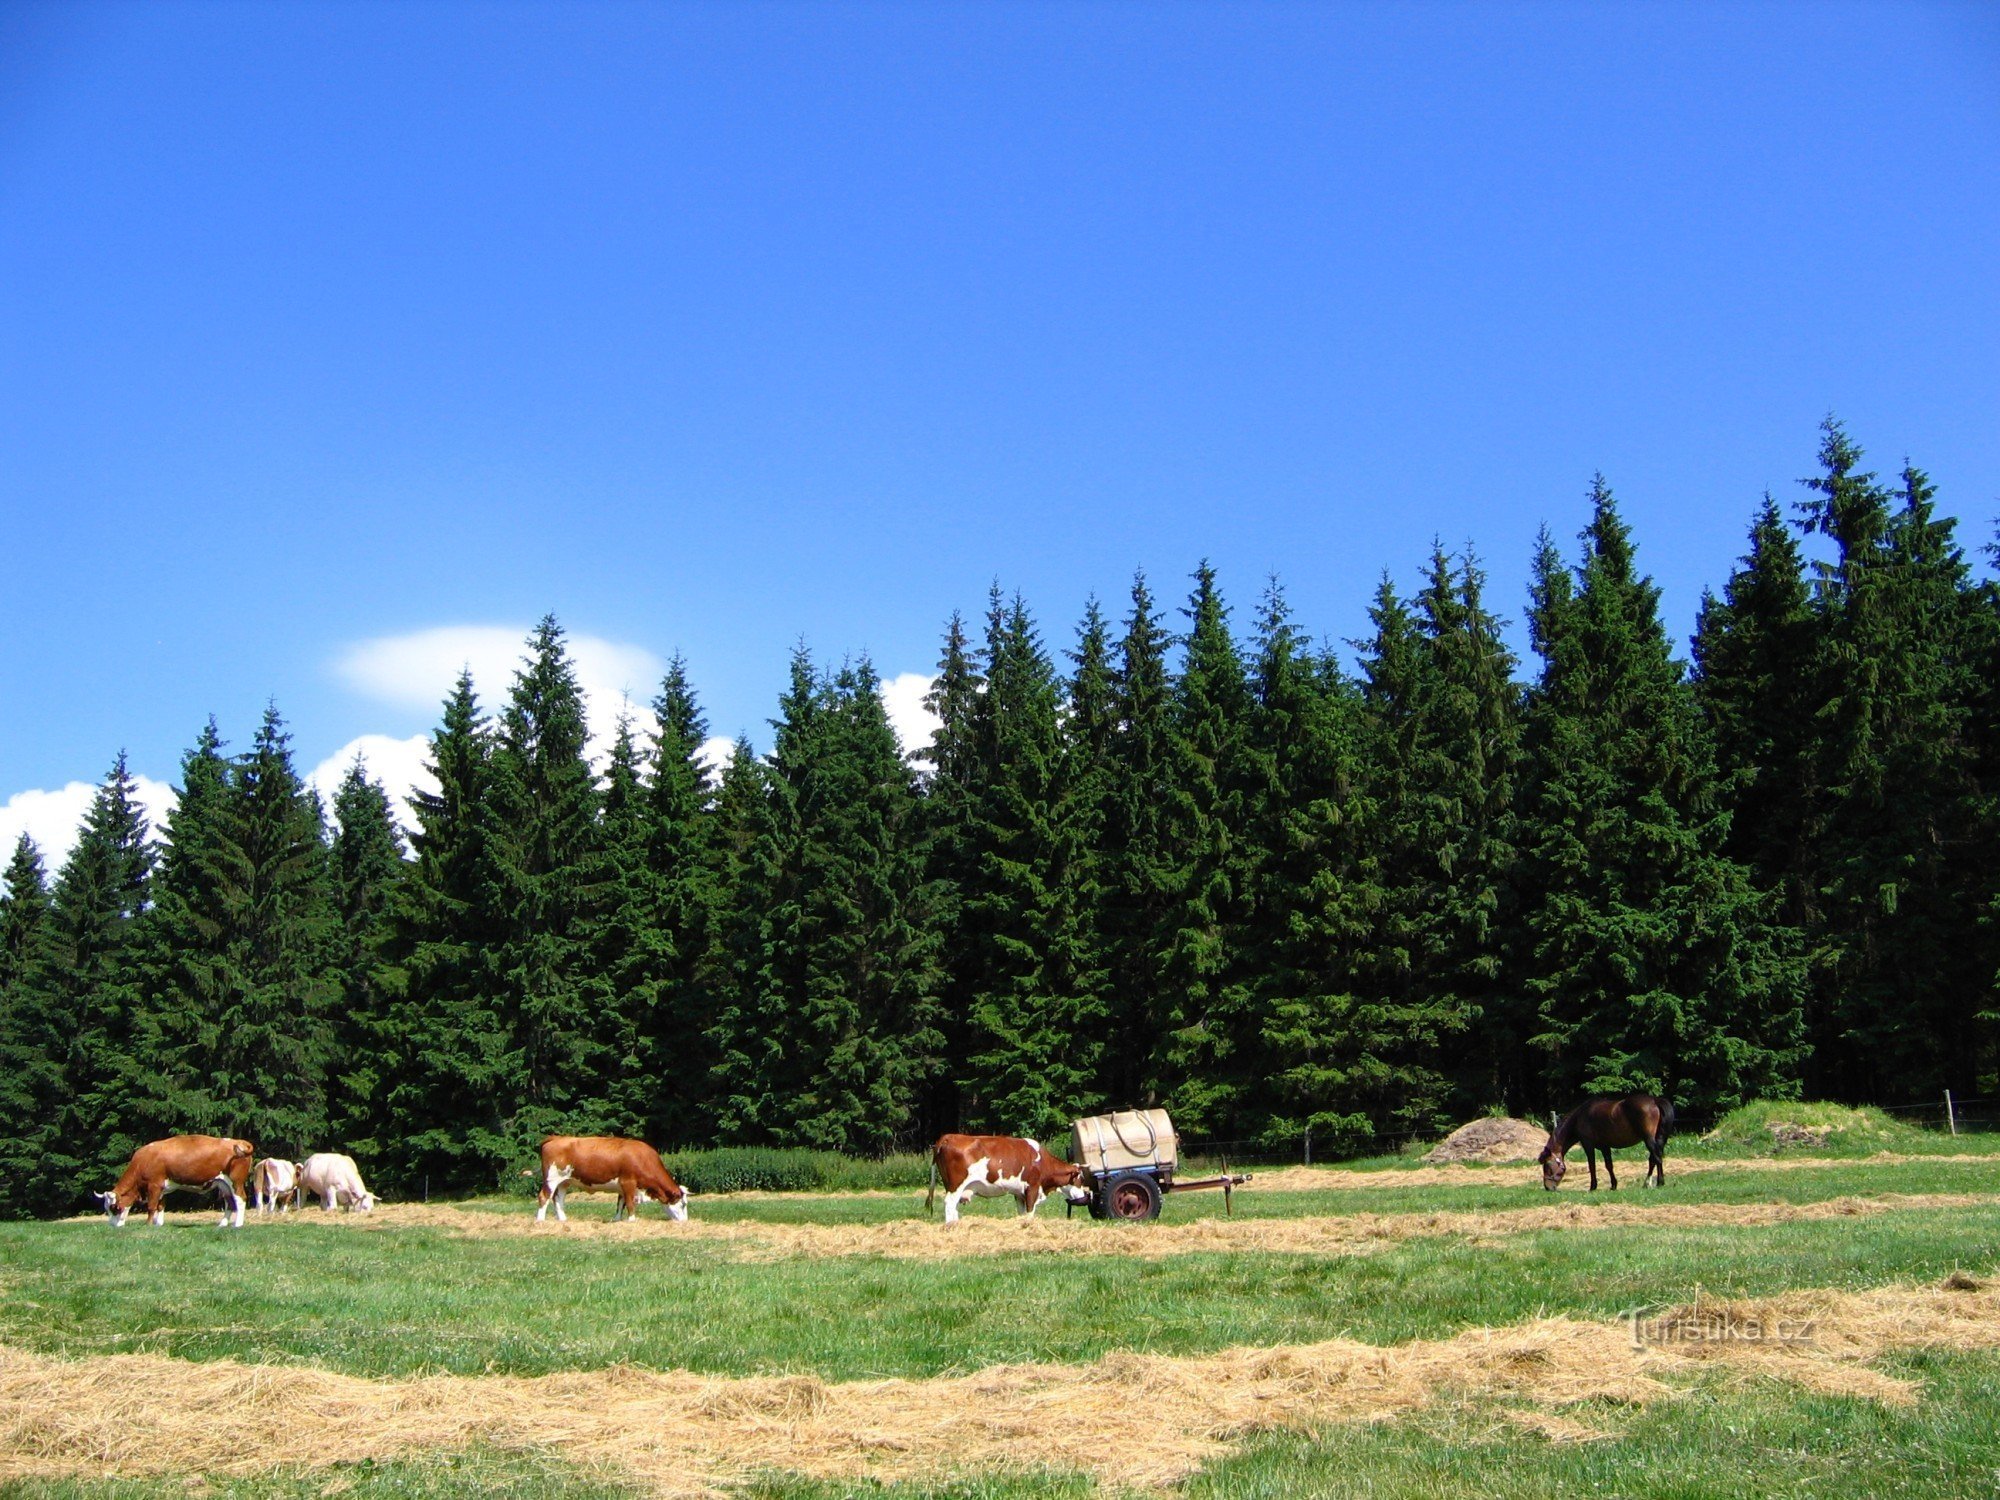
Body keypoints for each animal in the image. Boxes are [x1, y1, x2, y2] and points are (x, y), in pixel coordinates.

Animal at [95, 1136, 254, 1232]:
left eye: (114, 1208)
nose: (112, 1226)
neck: (143, 1161)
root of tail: (239, 1141)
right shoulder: (162, 1188)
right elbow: (160, 1206)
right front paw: (159, 1224)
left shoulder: (154, 1185)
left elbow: (151, 1207)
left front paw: (148, 1225)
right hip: (223, 1184)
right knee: (229, 1202)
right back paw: (222, 1224)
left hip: (236, 1182)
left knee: (241, 1200)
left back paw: (238, 1224)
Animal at [536, 1136, 692, 1224]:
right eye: (683, 1204)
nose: (685, 1222)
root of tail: (556, 1138)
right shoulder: (628, 1182)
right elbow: (630, 1203)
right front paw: (632, 1220)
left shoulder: (621, 1186)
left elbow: (620, 1203)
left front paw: (617, 1220)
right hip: (551, 1179)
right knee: (544, 1196)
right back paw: (540, 1220)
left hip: (564, 1181)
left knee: (558, 1199)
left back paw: (562, 1219)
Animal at [924, 1136, 1088, 1224]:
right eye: (1080, 1179)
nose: (1084, 1197)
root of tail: (947, 1137)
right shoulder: (1033, 1187)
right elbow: (1030, 1212)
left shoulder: (1019, 1193)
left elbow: (1022, 1212)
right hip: (956, 1185)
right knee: (949, 1203)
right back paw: (951, 1226)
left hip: (952, 1185)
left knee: (953, 1206)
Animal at [1544, 1096, 1672, 1192]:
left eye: (1547, 1166)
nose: (1547, 1187)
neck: (1580, 1117)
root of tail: (1654, 1101)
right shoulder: (1605, 1147)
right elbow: (1609, 1165)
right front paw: (1613, 1185)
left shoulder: (1588, 1145)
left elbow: (1592, 1165)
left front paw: (1593, 1187)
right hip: (1658, 1139)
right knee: (1654, 1159)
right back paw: (1649, 1183)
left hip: (1648, 1139)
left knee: (1657, 1157)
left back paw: (1658, 1182)